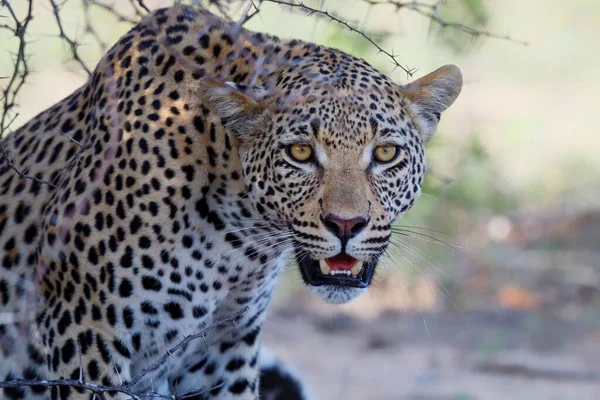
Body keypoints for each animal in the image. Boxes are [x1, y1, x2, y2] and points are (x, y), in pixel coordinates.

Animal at [0, 3, 464, 400]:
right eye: (300, 153)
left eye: (385, 153)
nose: (346, 224)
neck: (238, 237)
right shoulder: (84, 334)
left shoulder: (223, 349)